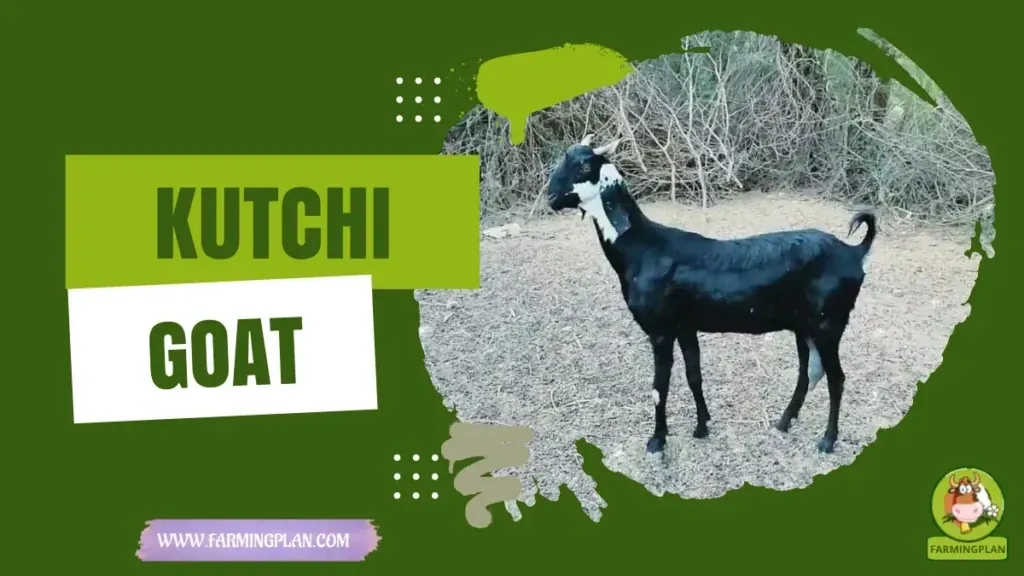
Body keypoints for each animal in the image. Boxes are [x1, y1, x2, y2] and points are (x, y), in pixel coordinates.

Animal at [544, 134, 876, 456]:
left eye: (584, 166)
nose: (550, 197)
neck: (642, 248)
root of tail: (854, 252)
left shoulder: (660, 330)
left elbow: (659, 388)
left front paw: (657, 441)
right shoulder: (685, 326)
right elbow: (694, 375)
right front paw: (702, 426)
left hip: (828, 324)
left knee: (836, 378)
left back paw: (827, 441)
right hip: (805, 326)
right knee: (809, 372)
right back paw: (783, 422)